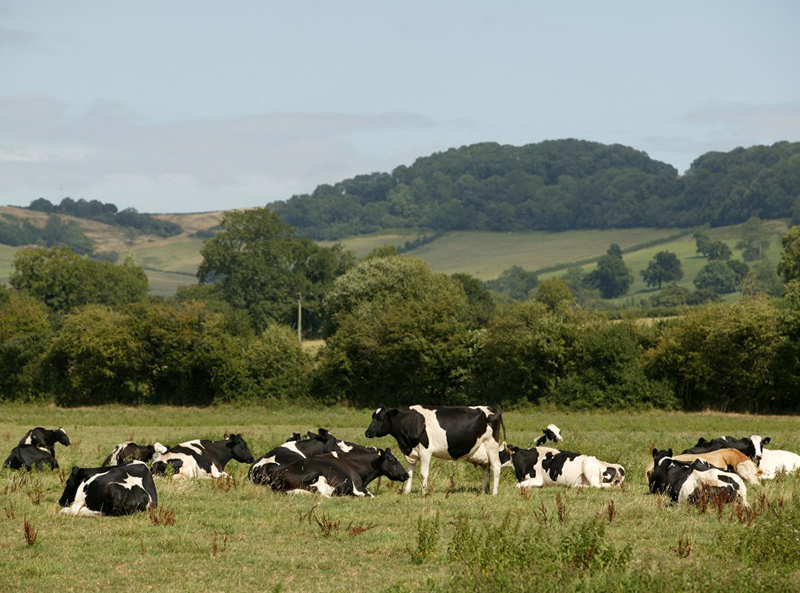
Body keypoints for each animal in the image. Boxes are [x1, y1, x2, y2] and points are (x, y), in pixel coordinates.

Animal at [365, 405, 505, 495]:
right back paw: (484, 491)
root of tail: (493, 409)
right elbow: (410, 473)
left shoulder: (425, 451)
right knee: (486, 468)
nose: (367, 433)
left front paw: (424, 492)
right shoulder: (411, 452)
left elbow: (423, 473)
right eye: (372, 417)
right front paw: (406, 492)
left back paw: (494, 492)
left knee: (496, 467)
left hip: (491, 444)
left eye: (381, 418)